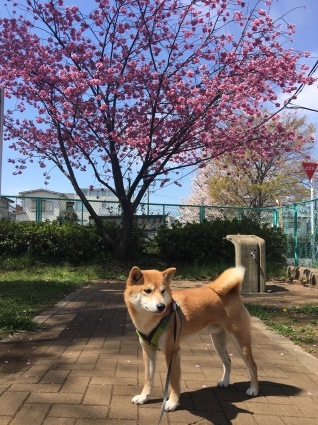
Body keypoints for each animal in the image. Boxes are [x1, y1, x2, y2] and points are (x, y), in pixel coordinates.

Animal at [124, 264, 258, 410]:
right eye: (147, 291)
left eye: (163, 291)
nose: (161, 306)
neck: (150, 321)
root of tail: (233, 293)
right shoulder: (148, 351)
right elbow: (148, 378)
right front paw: (144, 397)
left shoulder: (172, 352)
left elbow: (173, 380)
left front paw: (172, 402)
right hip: (217, 342)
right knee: (228, 361)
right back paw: (225, 381)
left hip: (240, 342)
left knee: (253, 365)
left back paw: (254, 389)